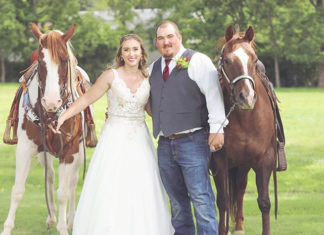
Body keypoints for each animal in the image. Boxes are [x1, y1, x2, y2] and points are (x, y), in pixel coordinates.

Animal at [1, 22, 89, 235]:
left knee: (72, 183)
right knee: (49, 176)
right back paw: (52, 217)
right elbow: (18, 190)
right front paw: (7, 228)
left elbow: (63, 192)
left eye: (64, 60)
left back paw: (71, 221)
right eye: (41, 62)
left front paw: (64, 228)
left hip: (78, 153)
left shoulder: (70, 152)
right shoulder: (25, 148)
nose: (50, 101)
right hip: (44, 153)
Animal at [210, 24, 278, 234]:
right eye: (227, 60)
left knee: (240, 188)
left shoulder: (265, 159)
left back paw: (239, 226)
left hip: (244, 163)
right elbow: (223, 201)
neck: (246, 120)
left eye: (254, 60)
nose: (246, 97)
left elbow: (264, 202)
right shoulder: (220, 160)